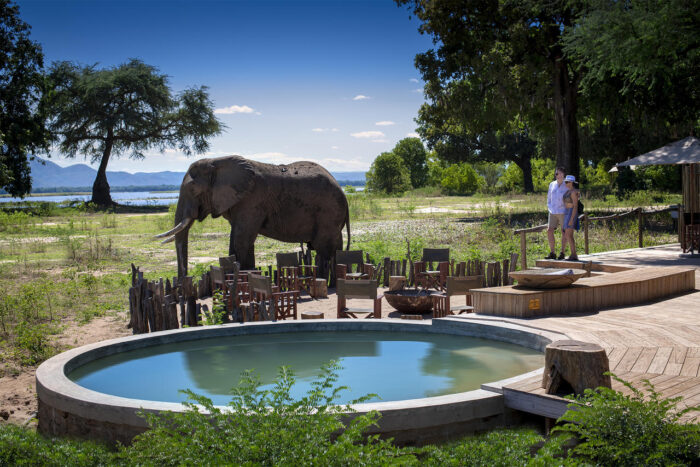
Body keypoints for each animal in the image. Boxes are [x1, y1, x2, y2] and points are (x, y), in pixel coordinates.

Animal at [154, 157, 348, 280]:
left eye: (193, 189)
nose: (182, 281)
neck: (217, 162)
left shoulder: (252, 200)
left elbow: (241, 239)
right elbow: (237, 240)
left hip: (328, 214)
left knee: (324, 248)